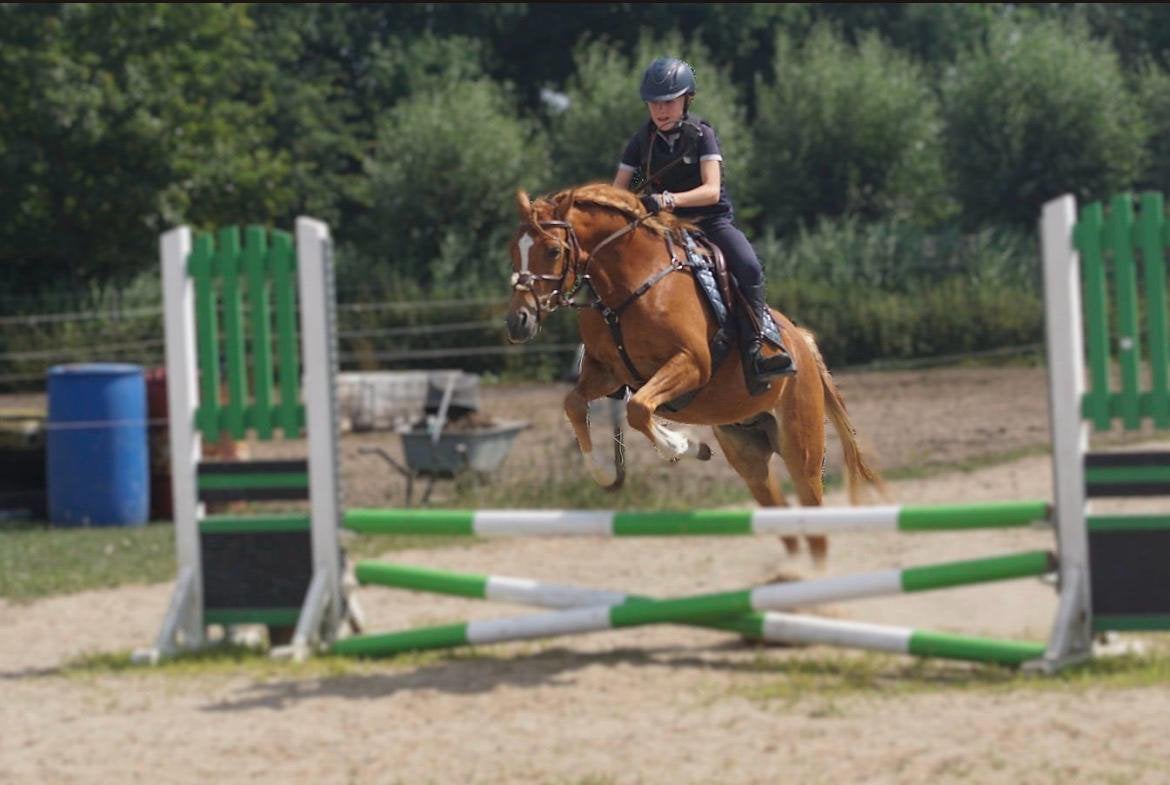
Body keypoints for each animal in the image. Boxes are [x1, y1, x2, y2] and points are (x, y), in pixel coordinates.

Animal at [504, 183, 886, 565]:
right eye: (513, 250)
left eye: (553, 250)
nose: (518, 322)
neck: (627, 285)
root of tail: (802, 342)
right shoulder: (607, 373)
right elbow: (575, 404)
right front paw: (606, 474)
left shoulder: (691, 363)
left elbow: (638, 409)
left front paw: (683, 445)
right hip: (747, 450)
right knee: (777, 508)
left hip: (800, 448)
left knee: (813, 515)